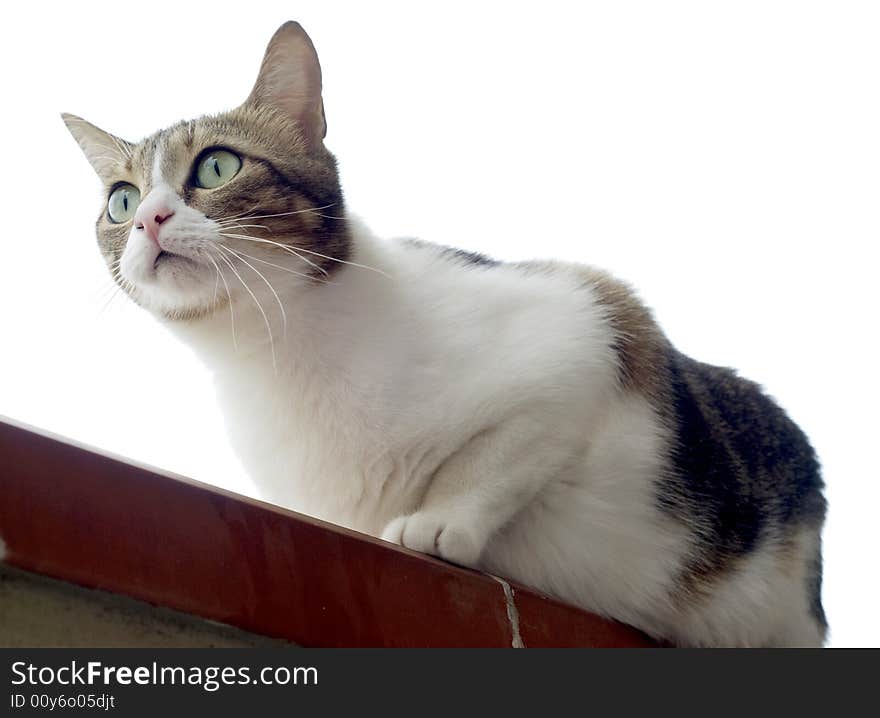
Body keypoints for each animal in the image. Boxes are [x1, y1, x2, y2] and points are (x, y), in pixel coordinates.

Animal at [63, 21, 824, 652]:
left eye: (218, 166)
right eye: (121, 201)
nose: (149, 221)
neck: (271, 350)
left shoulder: (588, 325)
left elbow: (498, 455)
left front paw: (438, 521)